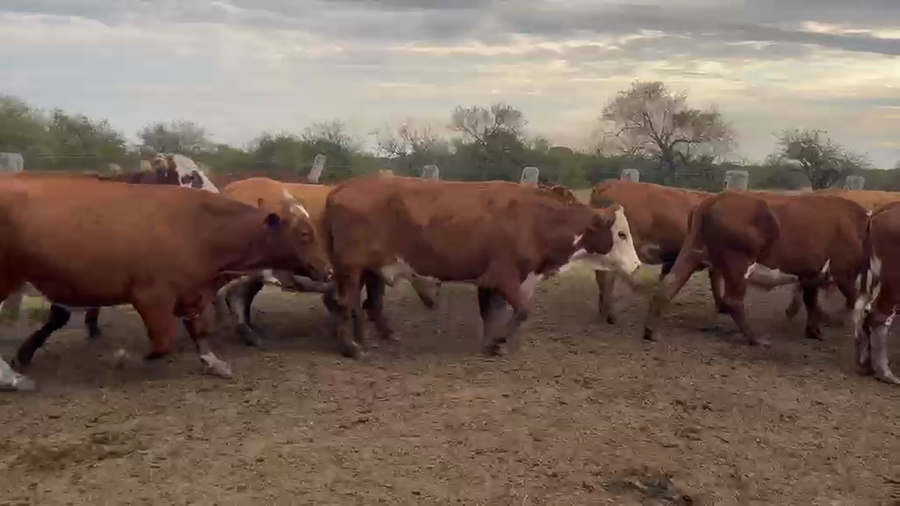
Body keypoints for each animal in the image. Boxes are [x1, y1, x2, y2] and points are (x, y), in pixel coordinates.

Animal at [0, 177, 330, 381]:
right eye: (304, 233)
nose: (327, 270)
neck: (200, 228)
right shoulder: (152, 298)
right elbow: (162, 343)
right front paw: (123, 357)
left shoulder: (193, 291)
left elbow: (198, 330)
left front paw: (214, 363)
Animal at [321, 175, 641, 359]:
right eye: (621, 234)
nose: (637, 265)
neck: (534, 220)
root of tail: (344, 187)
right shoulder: (504, 277)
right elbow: (521, 311)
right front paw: (499, 340)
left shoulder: (488, 281)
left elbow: (490, 313)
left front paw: (491, 342)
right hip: (351, 269)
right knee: (345, 302)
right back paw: (352, 348)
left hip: (370, 270)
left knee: (367, 304)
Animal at [642, 190, 868, 346]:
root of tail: (712, 200)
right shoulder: (844, 274)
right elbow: (852, 302)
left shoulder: (811, 275)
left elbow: (813, 304)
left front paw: (815, 331)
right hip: (738, 263)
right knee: (733, 301)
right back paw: (756, 338)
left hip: (692, 255)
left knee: (668, 286)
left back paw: (651, 332)